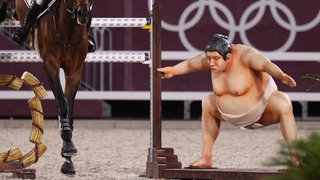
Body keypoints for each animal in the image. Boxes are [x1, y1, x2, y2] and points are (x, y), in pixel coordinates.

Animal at [12, 0, 92, 176]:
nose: (83, 13)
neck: (68, 30)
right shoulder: (50, 65)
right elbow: (62, 104)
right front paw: (67, 146)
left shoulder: (74, 73)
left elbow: (69, 109)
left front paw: (68, 158)